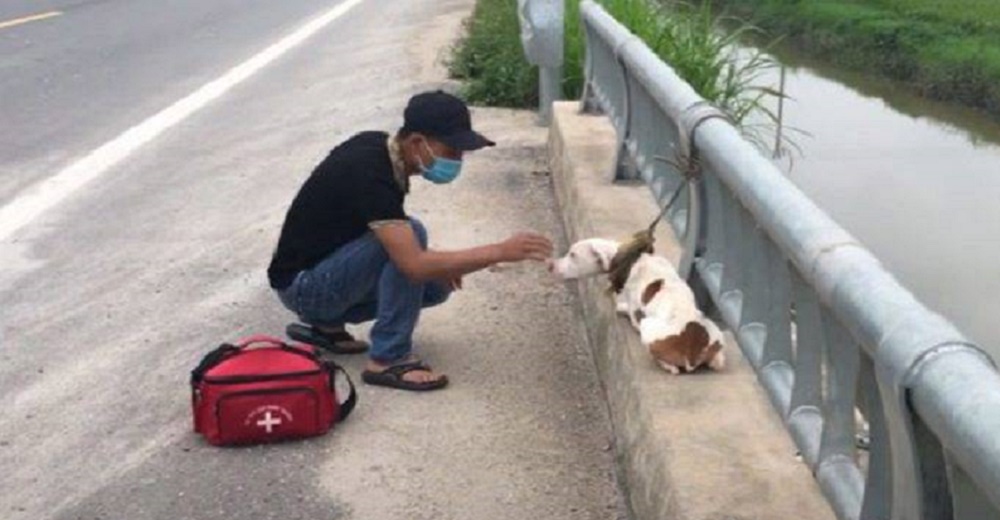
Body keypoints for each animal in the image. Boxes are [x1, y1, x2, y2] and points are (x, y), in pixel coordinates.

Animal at [548, 238, 728, 376]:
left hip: (648, 327)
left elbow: (630, 313)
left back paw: (666, 365)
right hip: (716, 333)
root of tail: (694, 348)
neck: (627, 258)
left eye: (573, 254)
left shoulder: (634, 307)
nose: (551, 266)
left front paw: (621, 308)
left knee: (670, 365)